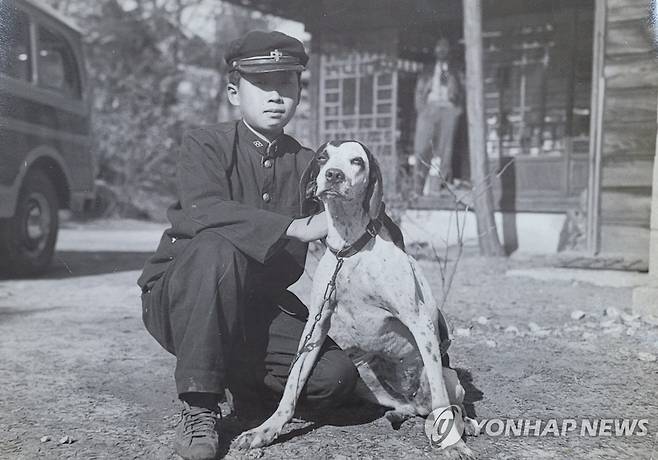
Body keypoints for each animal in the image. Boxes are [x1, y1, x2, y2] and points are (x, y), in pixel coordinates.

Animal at [236, 140, 476, 456]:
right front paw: (266, 429)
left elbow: (440, 399)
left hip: (449, 377)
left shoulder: (421, 323)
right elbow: (292, 385)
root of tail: (411, 398)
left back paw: (462, 423)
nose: (333, 175)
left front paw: (452, 444)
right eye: (322, 158)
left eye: (357, 161)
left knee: (446, 404)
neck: (349, 249)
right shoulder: (316, 324)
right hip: (363, 375)